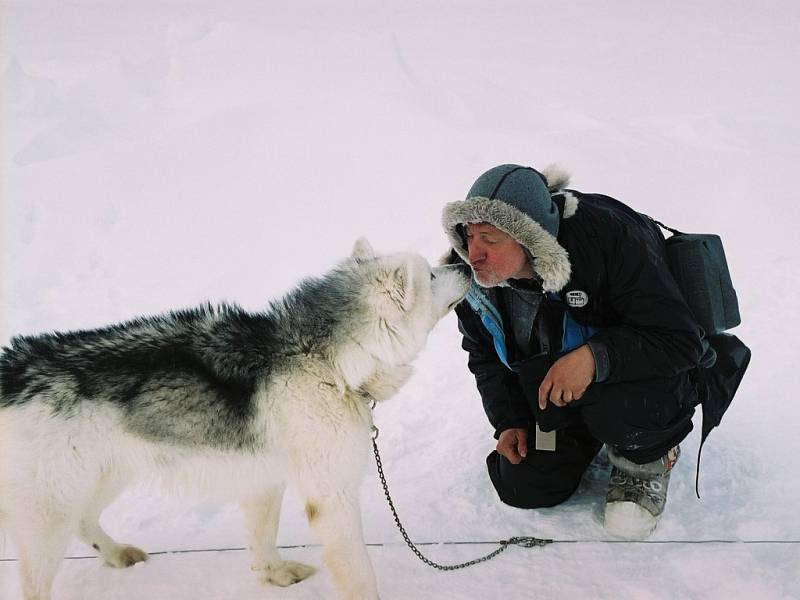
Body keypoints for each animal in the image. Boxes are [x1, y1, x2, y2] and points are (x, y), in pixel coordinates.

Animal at [0, 239, 472, 600]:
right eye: (431, 276)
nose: (463, 263)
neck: (325, 360)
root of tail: (15, 368)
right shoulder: (332, 499)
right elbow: (360, 576)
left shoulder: (262, 480)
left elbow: (263, 542)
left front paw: (274, 576)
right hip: (52, 512)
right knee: (35, 582)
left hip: (103, 478)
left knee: (85, 521)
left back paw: (118, 555)